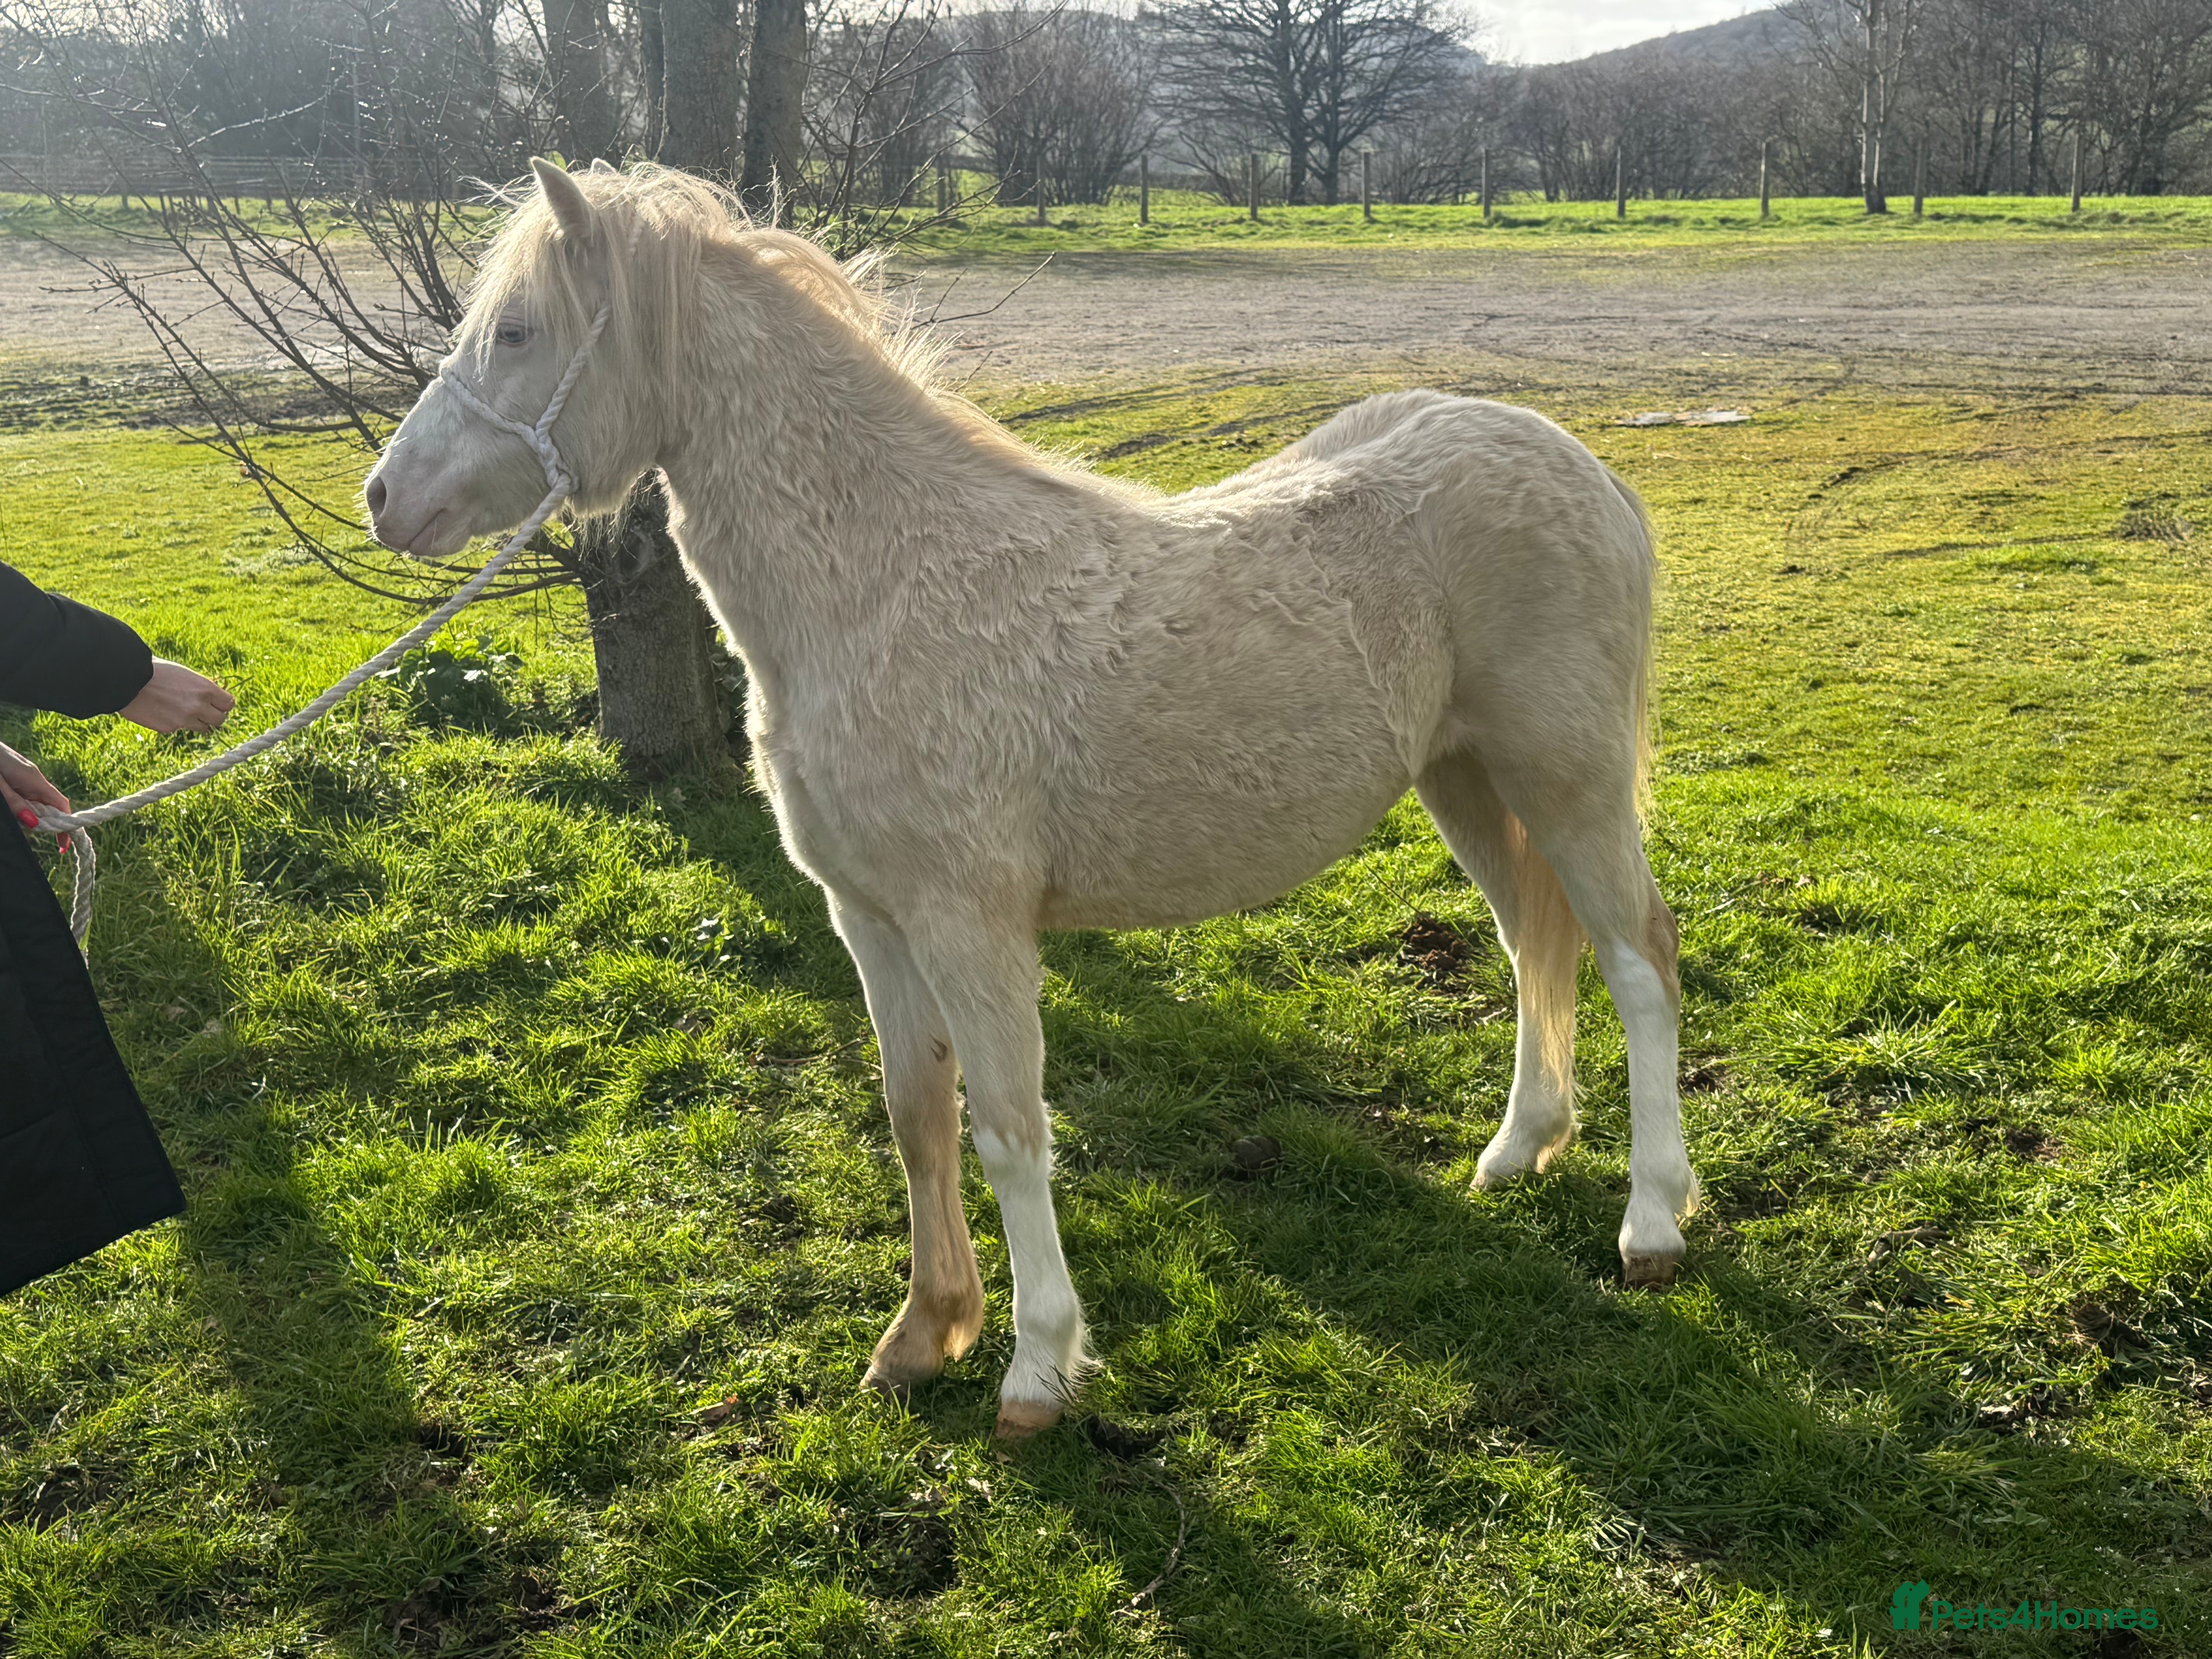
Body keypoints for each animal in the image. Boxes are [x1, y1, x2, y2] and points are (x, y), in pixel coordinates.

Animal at [363, 158, 1698, 1438]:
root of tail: (1578, 465)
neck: (884, 587)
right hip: (1464, 779)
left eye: (518, 331)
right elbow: (917, 1115)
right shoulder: (871, 919)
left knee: (1637, 959)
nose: (386, 496)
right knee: (1534, 943)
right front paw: (921, 1337)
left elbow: (1009, 1129)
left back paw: (1651, 1224)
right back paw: (1516, 1150)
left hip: (1567, 781)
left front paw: (1036, 1370)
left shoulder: (973, 924)